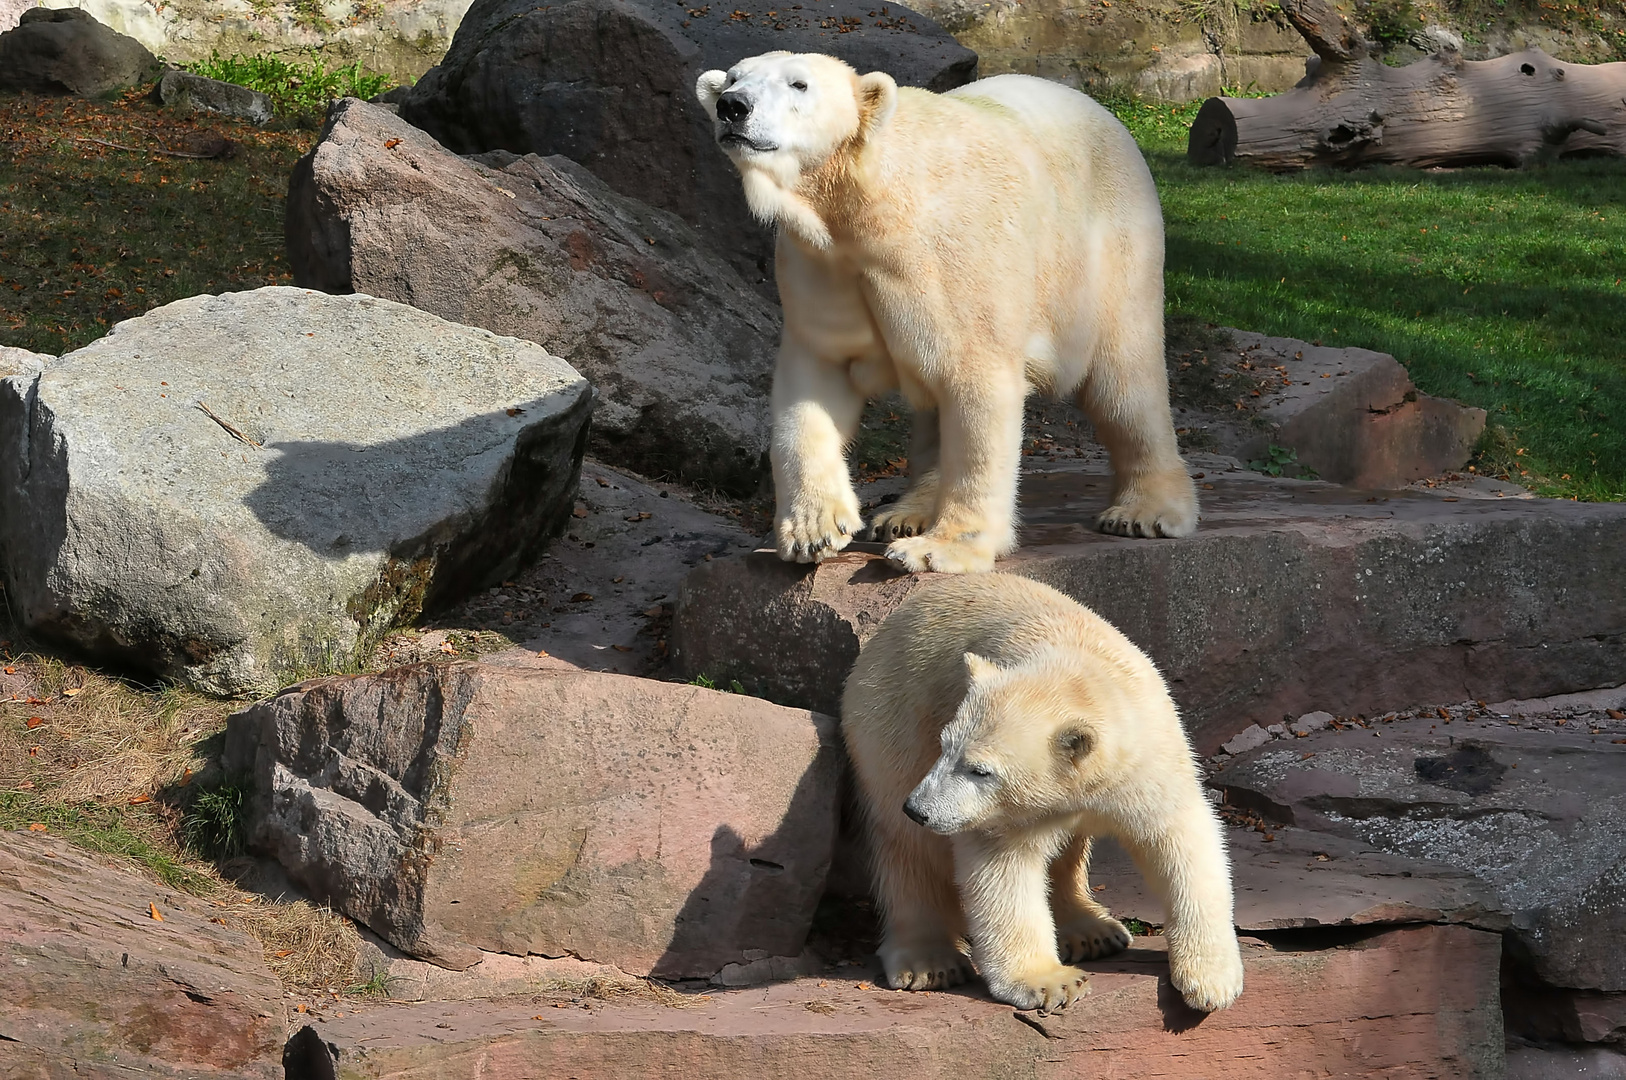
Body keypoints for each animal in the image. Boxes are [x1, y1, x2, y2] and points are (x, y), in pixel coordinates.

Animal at [692, 50, 1203, 572]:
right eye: (732, 78)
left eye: (799, 84)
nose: (733, 106)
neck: (871, 209)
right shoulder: (822, 264)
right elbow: (816, 381)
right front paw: (813, 532)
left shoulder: (954, 259)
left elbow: (975, 383)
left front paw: (939, 550)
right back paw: (905, 513)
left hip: (1106, 256)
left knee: (1123, 382)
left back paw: (1145, 512)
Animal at [839, 572, 1242, 1014]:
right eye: (947, 748)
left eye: (981, 770)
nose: (919, 809)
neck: (1077, 672)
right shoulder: (997, 811)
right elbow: (1004, 869)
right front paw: (1051, 982)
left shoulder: (1148, 761)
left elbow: (1180, 841)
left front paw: (1211, 981)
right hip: (894, 719)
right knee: (909, 845)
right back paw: (929, 962)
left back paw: (1091, 930)